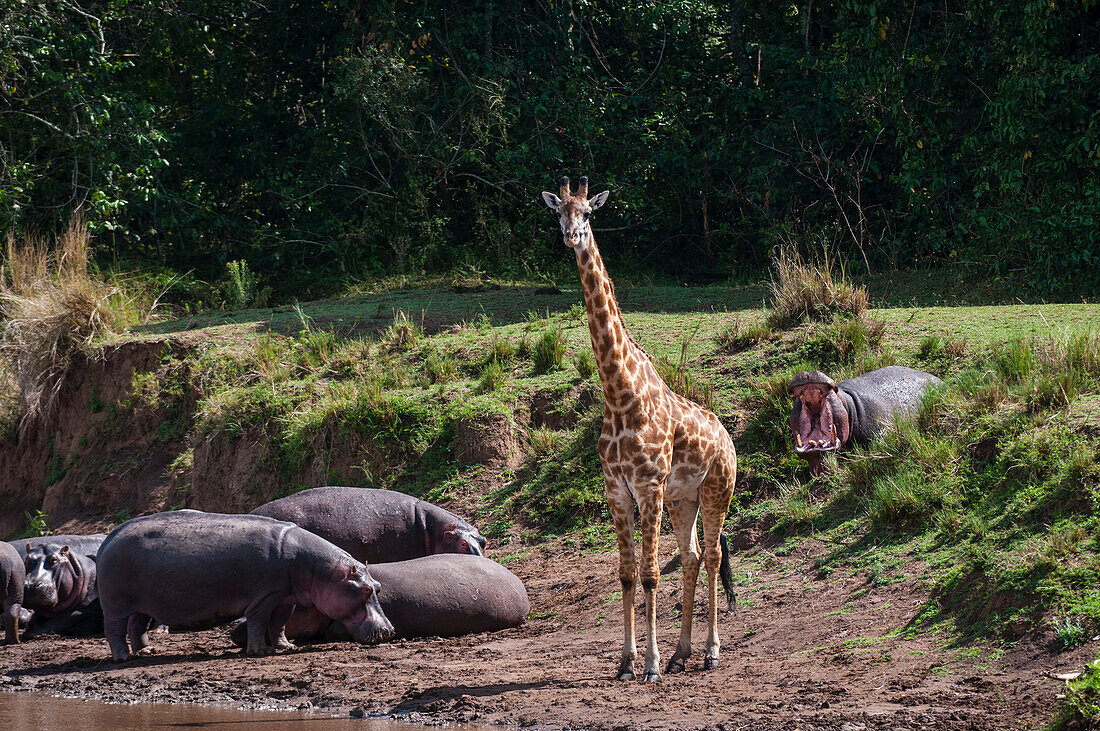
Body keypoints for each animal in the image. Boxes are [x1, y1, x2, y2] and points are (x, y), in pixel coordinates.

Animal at [95, 510, 396, 659]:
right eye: (365, 590)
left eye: (378, 585)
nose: (389, 630)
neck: (318, 570)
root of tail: (109, 537)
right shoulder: (264, 597)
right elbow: (259, 623)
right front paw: (260, 651)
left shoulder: (285, 598)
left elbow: (279, 624)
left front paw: (286, 647)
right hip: (115, 604)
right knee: (114, 630)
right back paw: (123, 658)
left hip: (142, 605)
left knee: (137, 626)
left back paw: (147, 651)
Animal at [543, 175, 739, 677]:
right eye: (558, 213)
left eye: (587, 212)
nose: (571, 237)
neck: (620, 393)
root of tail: (729, 440)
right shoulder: (617, 488)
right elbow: (627, 575)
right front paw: (627, 661)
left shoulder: (648, 484)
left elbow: (650, 576)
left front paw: (648, 663)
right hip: (683, 498)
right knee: (691, 557)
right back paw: (681, 653)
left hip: (717, 489)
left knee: (713, 556)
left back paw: (709, 652)